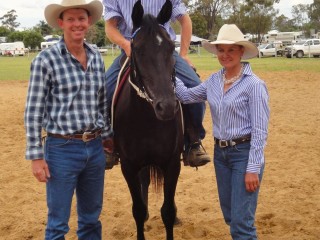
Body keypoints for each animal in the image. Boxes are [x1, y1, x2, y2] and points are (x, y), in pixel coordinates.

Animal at [112, 0, 182, 239]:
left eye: (171, 47)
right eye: (138, 49)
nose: (167, 106)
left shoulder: (172, 163)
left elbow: (168, 211)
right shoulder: (128, 166)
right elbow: (138, 210)